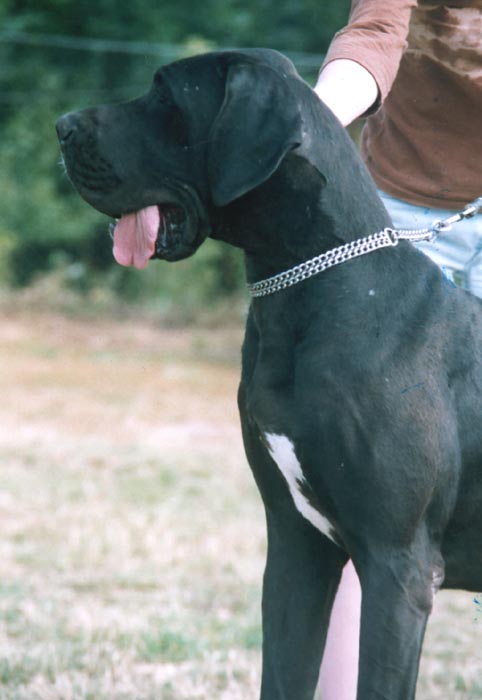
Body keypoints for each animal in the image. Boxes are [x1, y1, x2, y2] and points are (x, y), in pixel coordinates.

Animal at [56, 49, 482, 700]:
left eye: (165, 97)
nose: (62, 126)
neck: (317, 285)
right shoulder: (295, 545)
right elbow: (282, 672)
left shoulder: (398, 567)